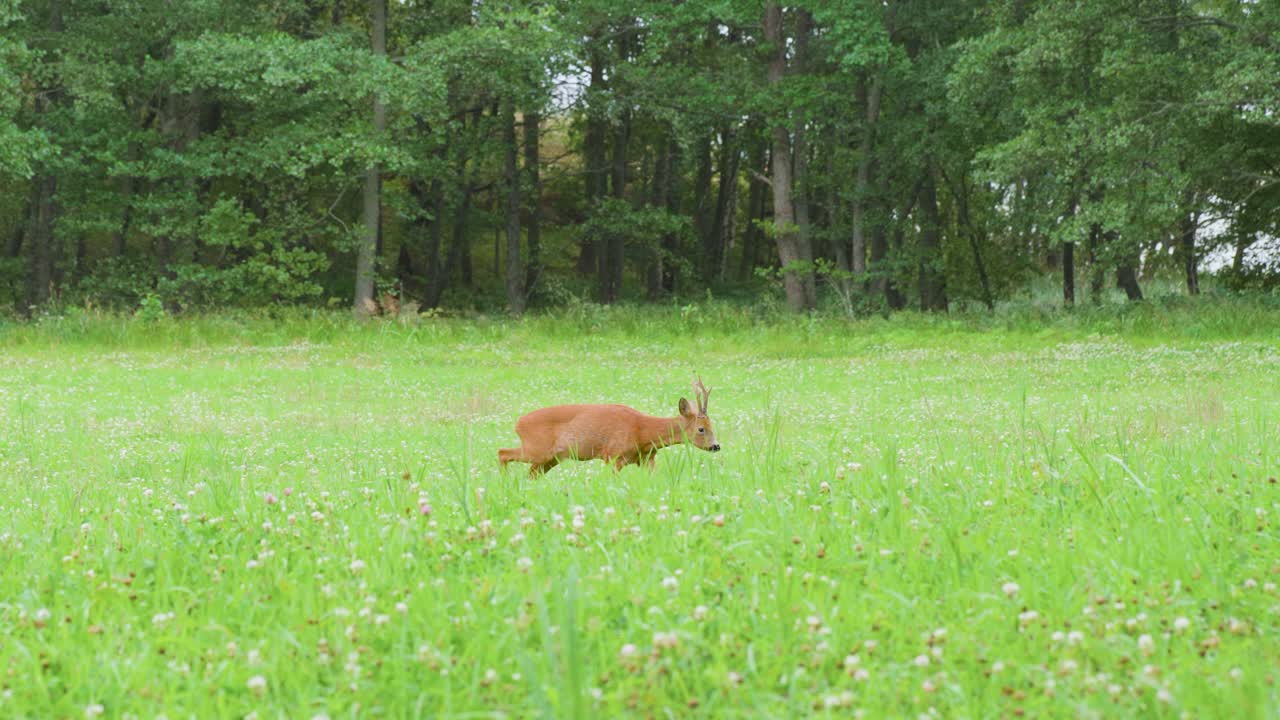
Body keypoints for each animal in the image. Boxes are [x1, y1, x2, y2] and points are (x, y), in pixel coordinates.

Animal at [497, 377, 720, 477]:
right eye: (701, 429)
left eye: (713, 425)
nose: (716, 446)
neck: (642, 432)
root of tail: (518, 423)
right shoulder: (613, 455)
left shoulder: (647, 459)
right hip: (537, 449)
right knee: (502, 452)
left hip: (550, 458)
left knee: (529, 473)